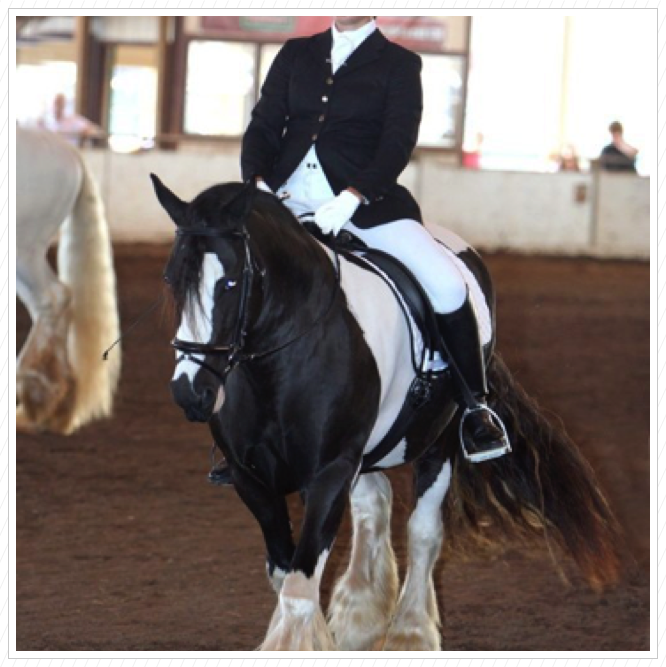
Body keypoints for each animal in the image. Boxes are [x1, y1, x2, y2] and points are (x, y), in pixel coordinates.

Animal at [149, 177, 616, 652]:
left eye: (228, 282)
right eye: (171, 279)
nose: (190, 393)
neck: (278, 361)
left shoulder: (330, 471)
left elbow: (298, 589)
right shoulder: (252, 478)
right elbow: (285, 577)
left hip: (441, 439)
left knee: (423, 531)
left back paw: (409, 632)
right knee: (375, 503)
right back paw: (360, 616)